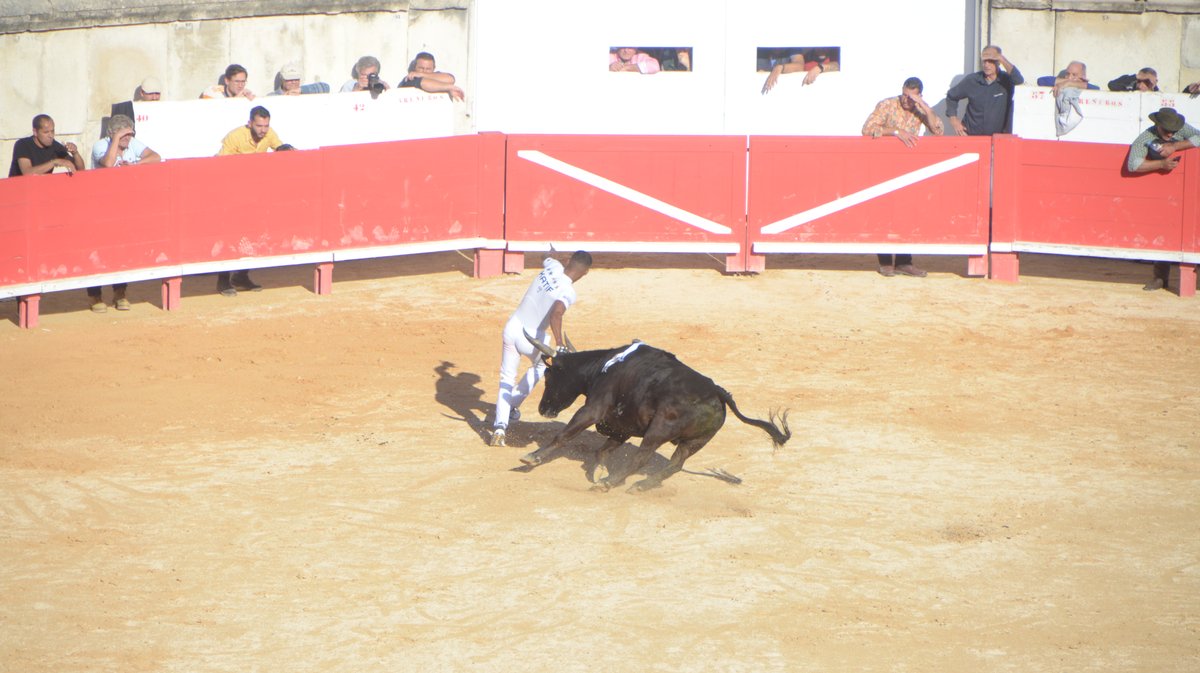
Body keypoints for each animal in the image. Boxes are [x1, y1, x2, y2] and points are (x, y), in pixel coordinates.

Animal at [520, 338, 792, 491]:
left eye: (548, 376)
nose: (542, 409)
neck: (605, 366)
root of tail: (718, 392)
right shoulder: (621, 426)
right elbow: (601, 451)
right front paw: (598, 471)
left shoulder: (593, 409)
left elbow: (564, 435)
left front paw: (532, 457)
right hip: (695, 441)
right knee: (675, 465)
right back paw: (641, 485)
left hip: (660, 429)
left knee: (642, 457)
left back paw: (612, 483)